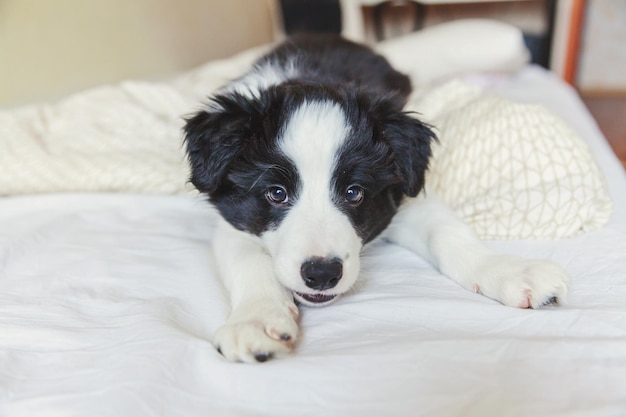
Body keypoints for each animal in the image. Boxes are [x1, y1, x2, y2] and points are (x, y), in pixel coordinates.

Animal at [183, 35, 568, 360]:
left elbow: (447, 232)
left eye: (354, 193)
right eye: (276, 193)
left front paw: (507, 269)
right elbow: (248, 261)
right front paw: (257, 319)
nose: (322, 274)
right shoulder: (232, 216)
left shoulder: (401, 197)